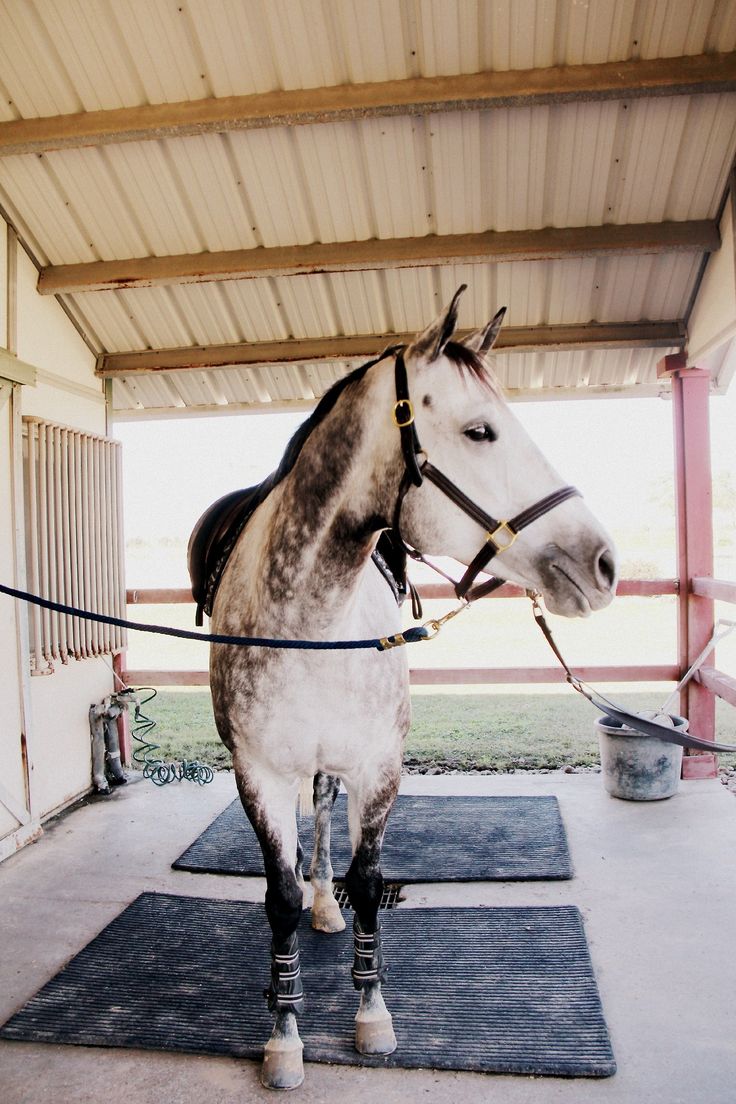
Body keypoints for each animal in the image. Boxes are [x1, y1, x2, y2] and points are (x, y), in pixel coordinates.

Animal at [188, 286, 618, 1090]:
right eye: (480, 431)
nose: (603, 562)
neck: (315, 618)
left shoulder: (379, 769)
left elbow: (365, 884)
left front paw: (371, 1014)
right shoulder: (255, 773)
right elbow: (279, 898)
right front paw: (284, 1037)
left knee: (327, 813)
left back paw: (328, 906)